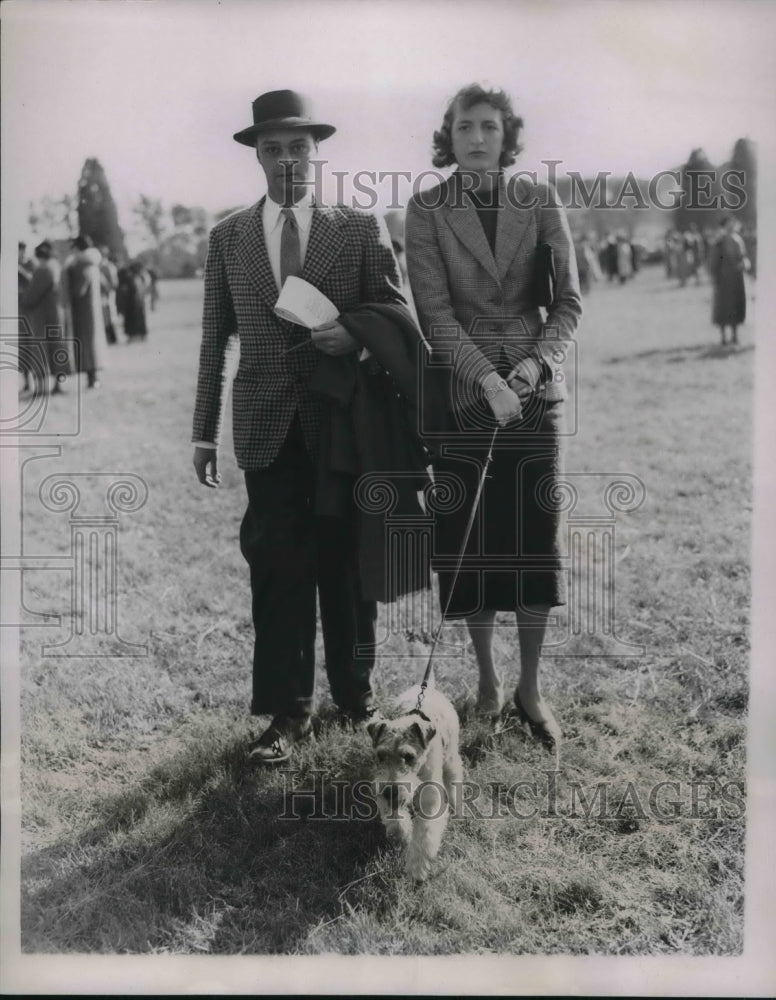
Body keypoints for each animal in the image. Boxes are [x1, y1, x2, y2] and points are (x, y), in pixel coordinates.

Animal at [366, 680, 464, 884]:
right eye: (380, 756)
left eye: (409, 757)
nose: (390, 792)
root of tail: (429, 687)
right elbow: (395, 819)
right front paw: (403, 835)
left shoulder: (431, 801)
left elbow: (424, 837)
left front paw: (416, 871)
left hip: (451, 758)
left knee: (455, 780)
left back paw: (458, 810)